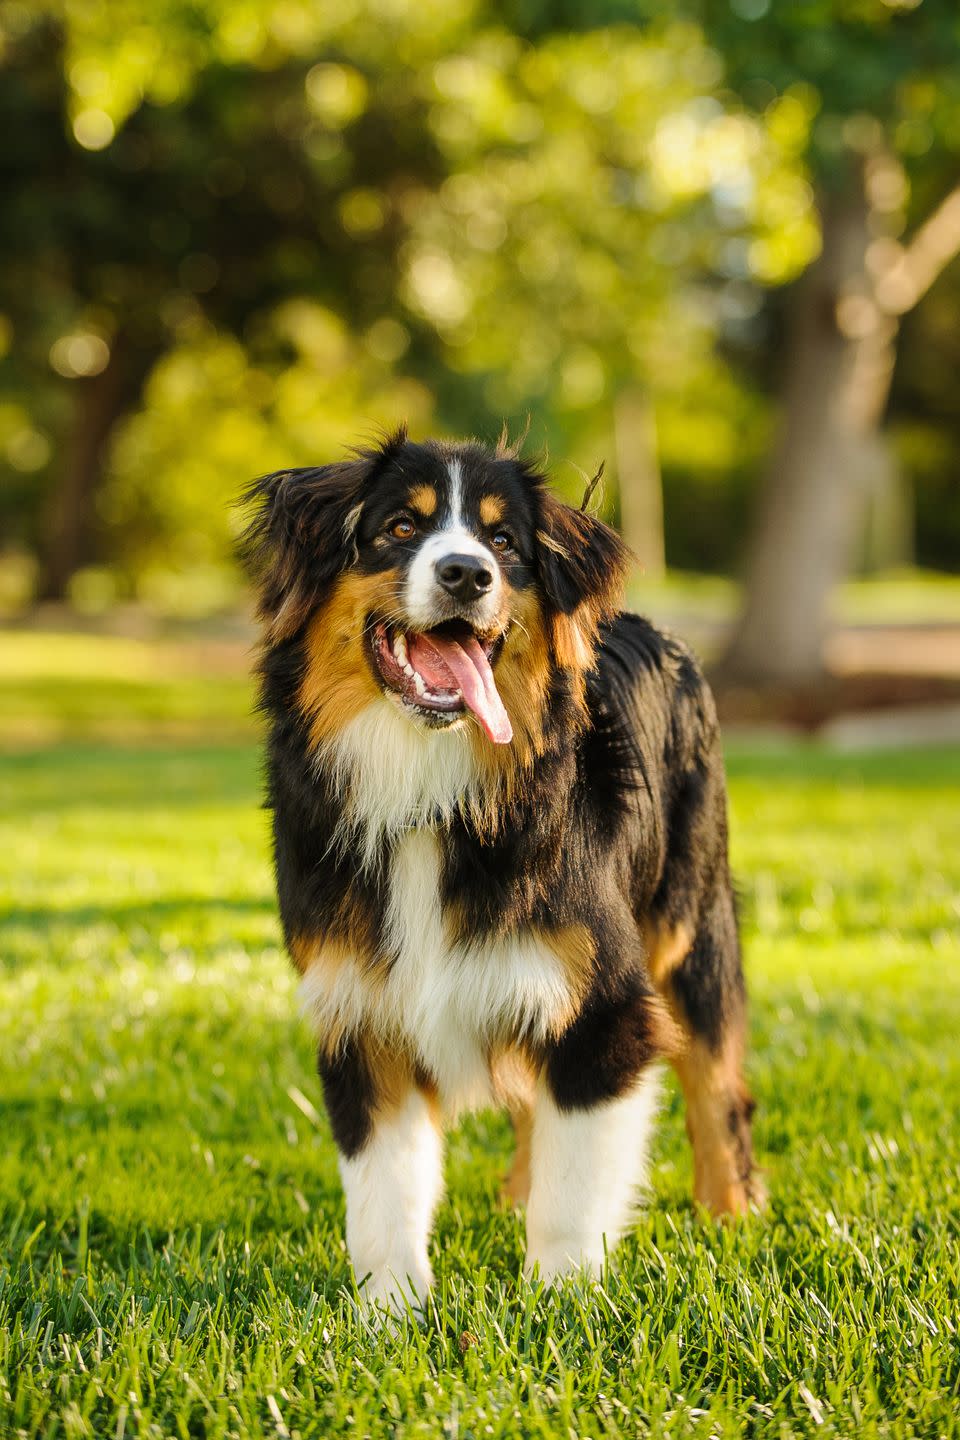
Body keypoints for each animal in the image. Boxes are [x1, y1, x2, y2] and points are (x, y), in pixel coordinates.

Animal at [244, 429, 759, 1319]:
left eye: (505, 542)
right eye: (398, 528)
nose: (466, 574)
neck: (433, 788)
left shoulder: (603, 1001)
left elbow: (576, 1185)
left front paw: (565, 1302)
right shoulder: (361, 1009)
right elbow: (383, 1191)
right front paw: (388, 1315)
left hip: (690, 923)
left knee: (716, 1079)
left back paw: (733, 1214)